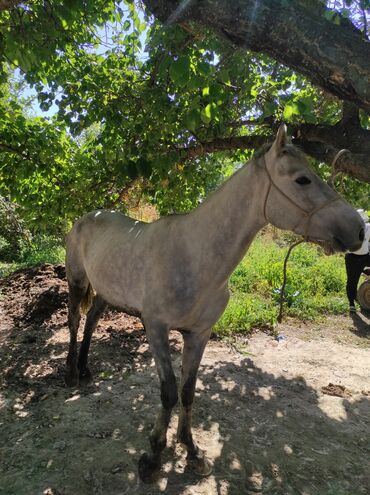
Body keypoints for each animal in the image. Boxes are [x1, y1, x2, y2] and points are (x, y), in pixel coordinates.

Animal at [65, 125, 362, 484]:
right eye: (302, 179)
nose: (359, 229)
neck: (195, 256)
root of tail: (87, 217)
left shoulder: (199, 334)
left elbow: (188, 391)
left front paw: (191, 450)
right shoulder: (156, 329)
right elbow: (168, 391)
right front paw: (153, 456)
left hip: (107, 293)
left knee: (92, 320)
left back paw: (85, 367)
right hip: (77, 281)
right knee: (74, 321)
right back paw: (71, 373)